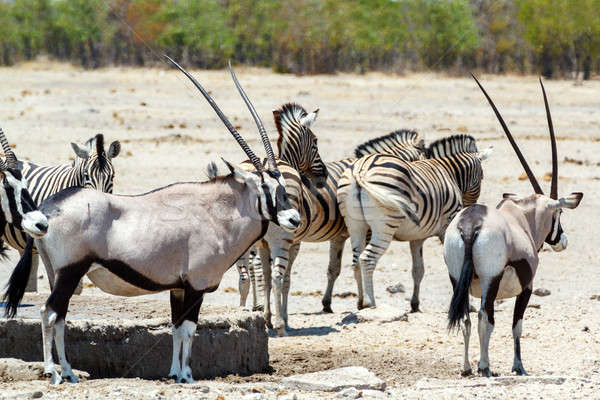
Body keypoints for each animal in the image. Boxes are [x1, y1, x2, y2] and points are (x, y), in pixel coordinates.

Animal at [338, 136, 492, 310]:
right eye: (482, 177)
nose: (469, 209)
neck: (449, 174)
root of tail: (361, 169)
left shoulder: (417, 236)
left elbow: (418, 270)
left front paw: (415, 304)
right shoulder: (446, 227)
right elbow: (455, 265)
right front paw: (467, 305)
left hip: (355, 225)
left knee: (356, 260)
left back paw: (360, 302)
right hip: (384, 225)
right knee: (367, 259)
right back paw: (370, 302)